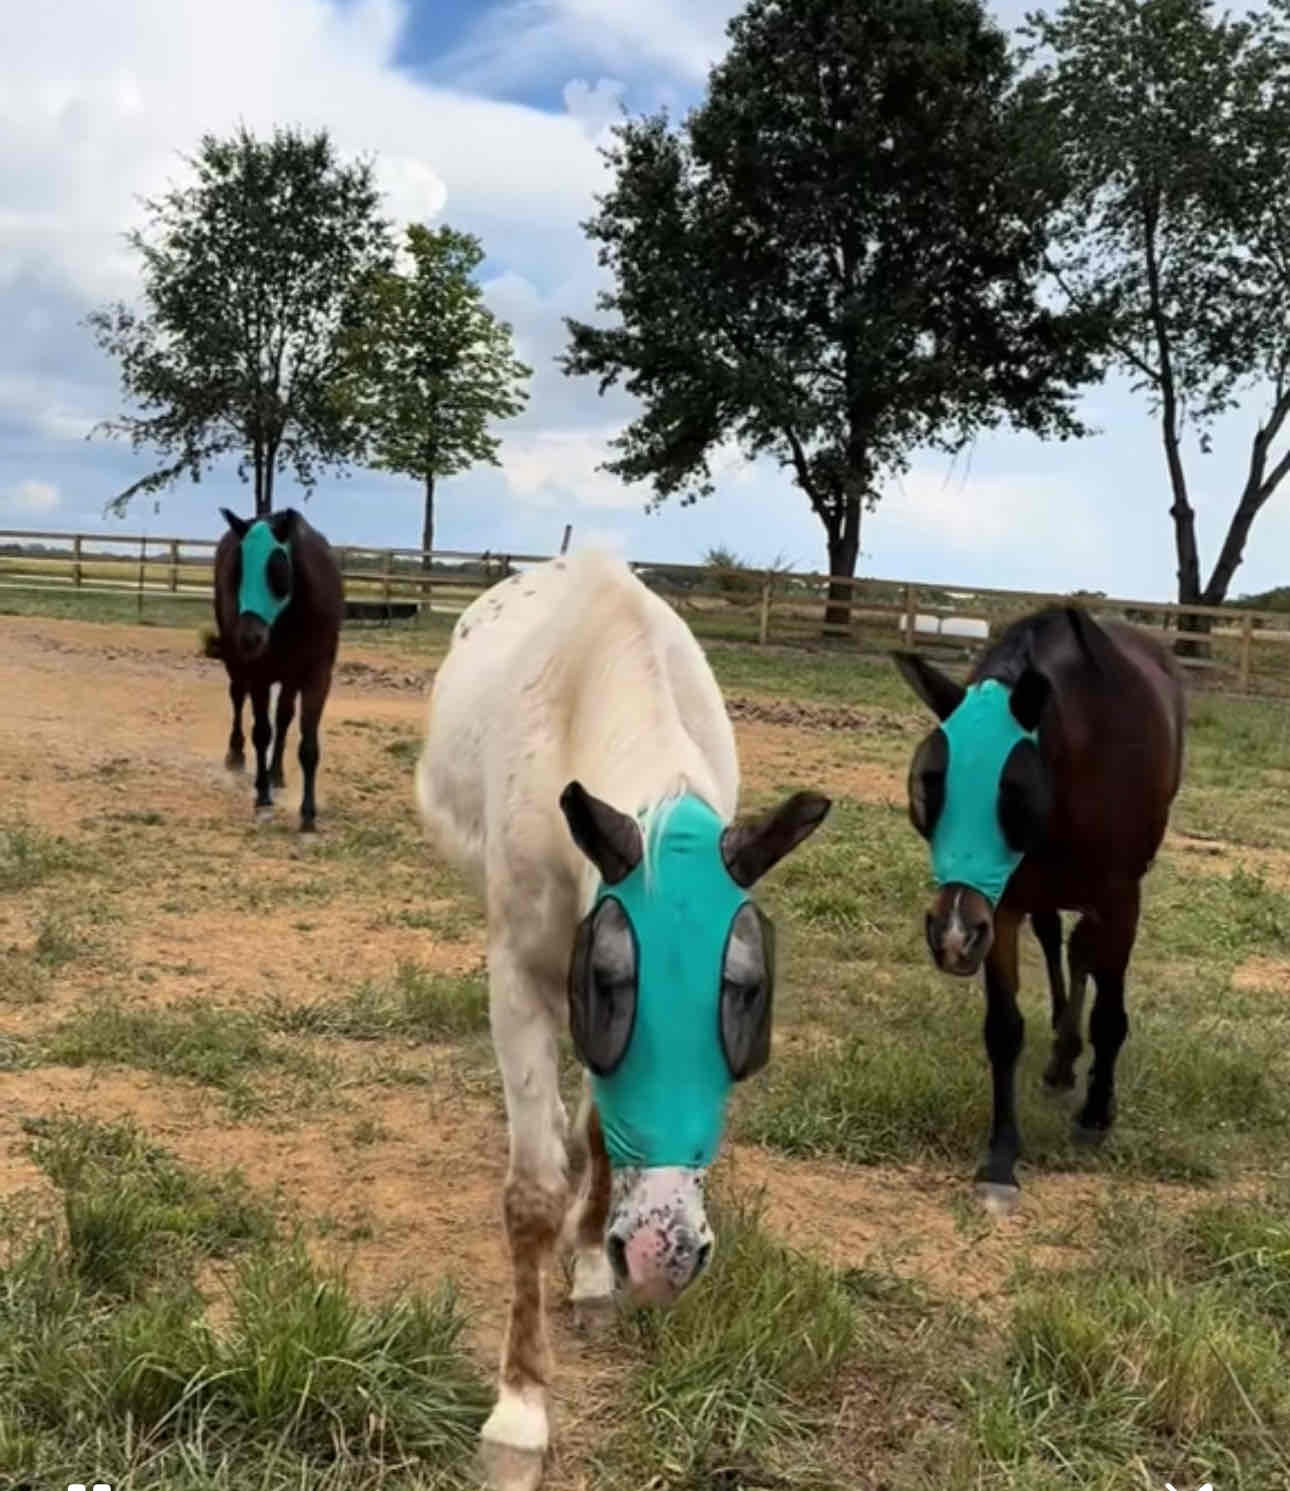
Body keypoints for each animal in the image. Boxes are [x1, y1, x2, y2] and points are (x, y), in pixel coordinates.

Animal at [210, 506, 343, 831]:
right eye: (237, 572)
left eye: (277, 569)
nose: (249, 638)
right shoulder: (259, 674)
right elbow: (262, 733)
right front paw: (262, 801)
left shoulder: (316, 677)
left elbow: (308, 746)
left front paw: (308, 815)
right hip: (239, 666)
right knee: (238, 697)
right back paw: (236, 756)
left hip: (290, 676)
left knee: (284, 717)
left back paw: (277, 774)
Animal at [415, 550, 830, 1491]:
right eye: (611, 979)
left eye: (747, 990)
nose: (659, 1256)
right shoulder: (526, 979)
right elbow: (533, 1190)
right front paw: (519, 1413)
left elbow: (601, 1136)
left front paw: (595, 1271)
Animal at [891, 604, 1185, 1213]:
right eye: (927, 788)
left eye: (1015, 791)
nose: (951, 935)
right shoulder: (999, 908)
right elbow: (1005, 1029)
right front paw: (1001, 1161)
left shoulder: (1121, 898)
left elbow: (1109, 1014)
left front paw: (1096, 1116)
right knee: (1059, 942)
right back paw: (1060, 1059)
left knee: (1083, 954)